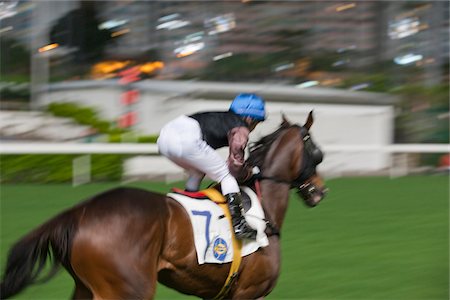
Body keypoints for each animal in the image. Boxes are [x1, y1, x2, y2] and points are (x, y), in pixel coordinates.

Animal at [1, 111, 328, 298]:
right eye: (316, 151)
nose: (320, 192)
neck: (262, 209)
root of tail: (77, 213)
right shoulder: (248, 294)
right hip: (128, 289)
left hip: (87, 289)